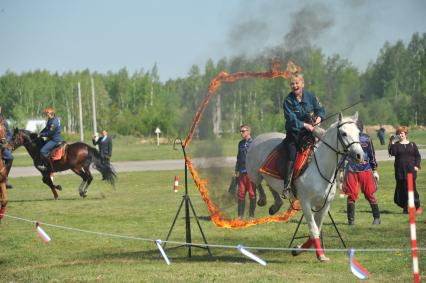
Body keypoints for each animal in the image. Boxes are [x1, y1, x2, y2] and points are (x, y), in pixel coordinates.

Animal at [246, 112, 362, 262]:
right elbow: (313, 229)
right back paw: (263, 200)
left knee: (270, 185)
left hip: (268, 177)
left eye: (358, 132)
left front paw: (298, 249)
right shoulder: (305, 203)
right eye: (344, 133)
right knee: (256, 183)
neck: (321, 168)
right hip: (254, 172)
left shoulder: (325, 205)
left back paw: (275, 205)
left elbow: (316, 230)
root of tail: (258, 138)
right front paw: (320, 256)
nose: (359, 155)